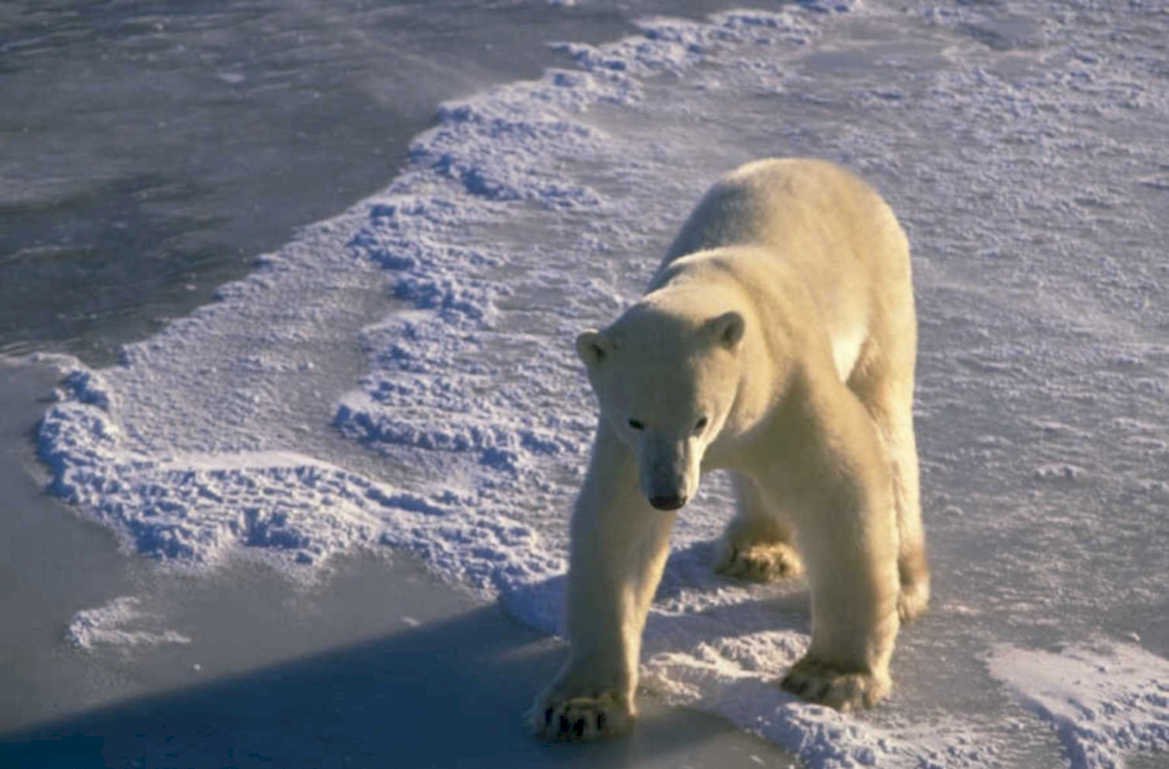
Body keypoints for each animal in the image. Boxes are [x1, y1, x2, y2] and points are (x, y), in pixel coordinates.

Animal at [531, 158, 930, 741]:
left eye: (700, 419)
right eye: (636, 419)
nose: (670, 496)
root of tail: (831, 169)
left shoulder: (789, 387)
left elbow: (842, 483)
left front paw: (832, 677)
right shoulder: (629, 450)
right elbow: (620, 529)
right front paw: (582, 707)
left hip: (883, 305)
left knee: (888, 427)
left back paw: (904, 586)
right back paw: (756, 552)